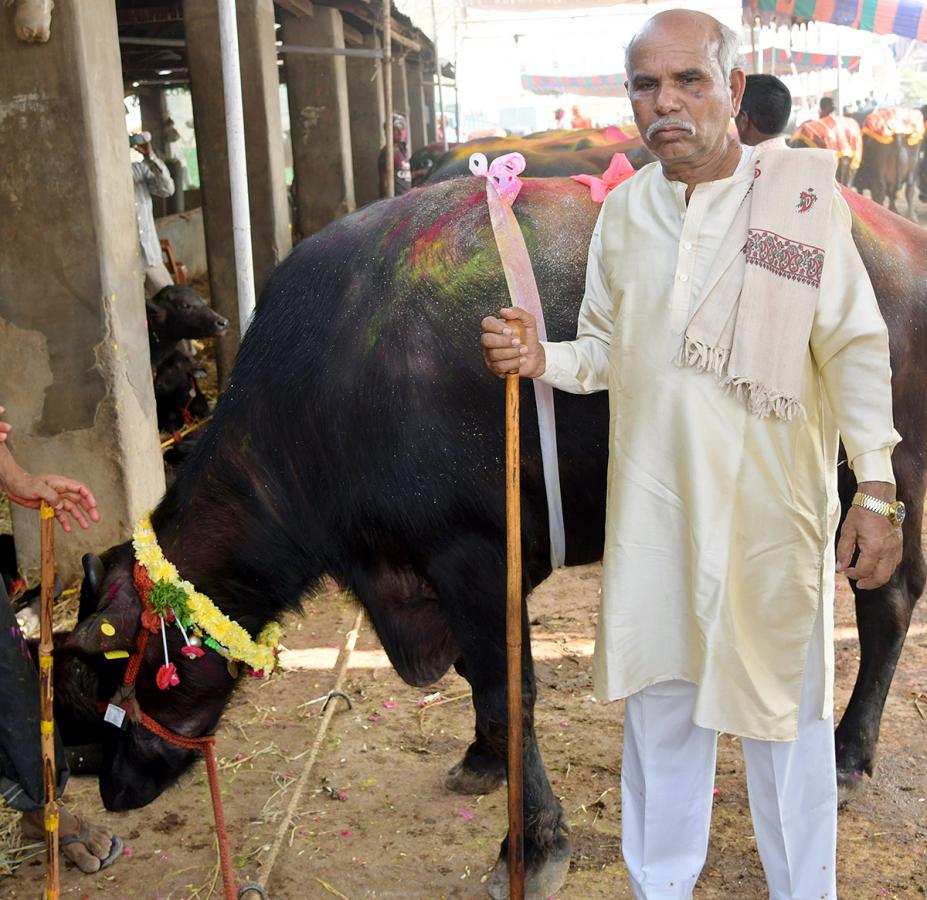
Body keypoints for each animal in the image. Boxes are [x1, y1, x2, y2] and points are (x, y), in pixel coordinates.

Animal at [61, 172, 924, 896]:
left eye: (107, 669)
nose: (114, 788)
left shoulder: (473, 556)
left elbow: (509, 689)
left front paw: (532, 843)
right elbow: (478, 679)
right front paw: (479, 761)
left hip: (884, 480)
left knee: (884, 607)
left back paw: (845, 756)